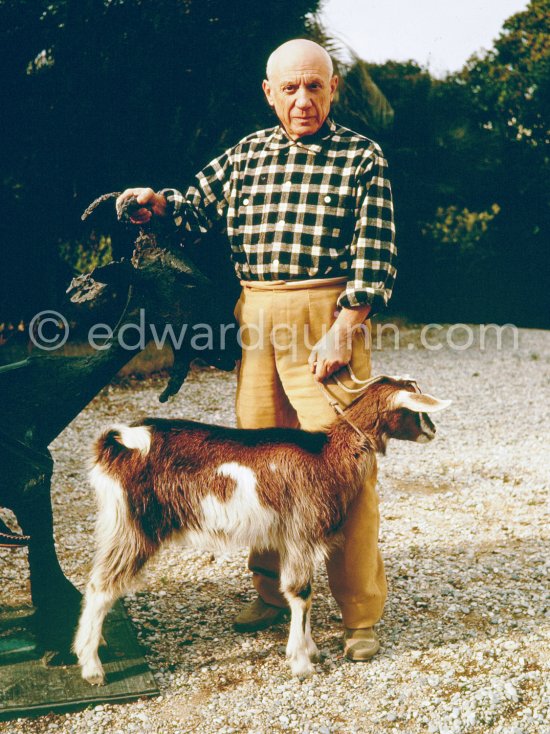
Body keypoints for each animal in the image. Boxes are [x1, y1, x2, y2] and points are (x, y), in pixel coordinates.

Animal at [74, 375, 450, 683]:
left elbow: (304, 594)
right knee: (102, 585)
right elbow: (300, 592)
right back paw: (91, 667)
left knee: (97, 582)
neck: (328, 455)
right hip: (136, 527)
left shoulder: (293, 539)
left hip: (118, 524)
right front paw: (301, 662)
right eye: (415, 408)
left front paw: (310, 649)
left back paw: (93, 644)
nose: (433, 431)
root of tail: (118, 444)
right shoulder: (302, 532)